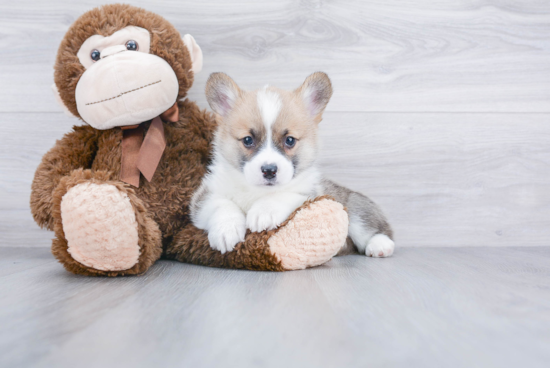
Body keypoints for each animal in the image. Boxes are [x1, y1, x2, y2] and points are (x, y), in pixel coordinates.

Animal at [192, 71, 394, 256]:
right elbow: (221, 204)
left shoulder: (309, 195)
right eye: (248, 140)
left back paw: (380, 245)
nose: (269, 170)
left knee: (376, 229)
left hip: (356, 210)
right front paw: (226, 230)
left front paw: (263, 212)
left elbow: (283, 195)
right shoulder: (203, 197)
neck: (257, 191)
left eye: (289, 140)